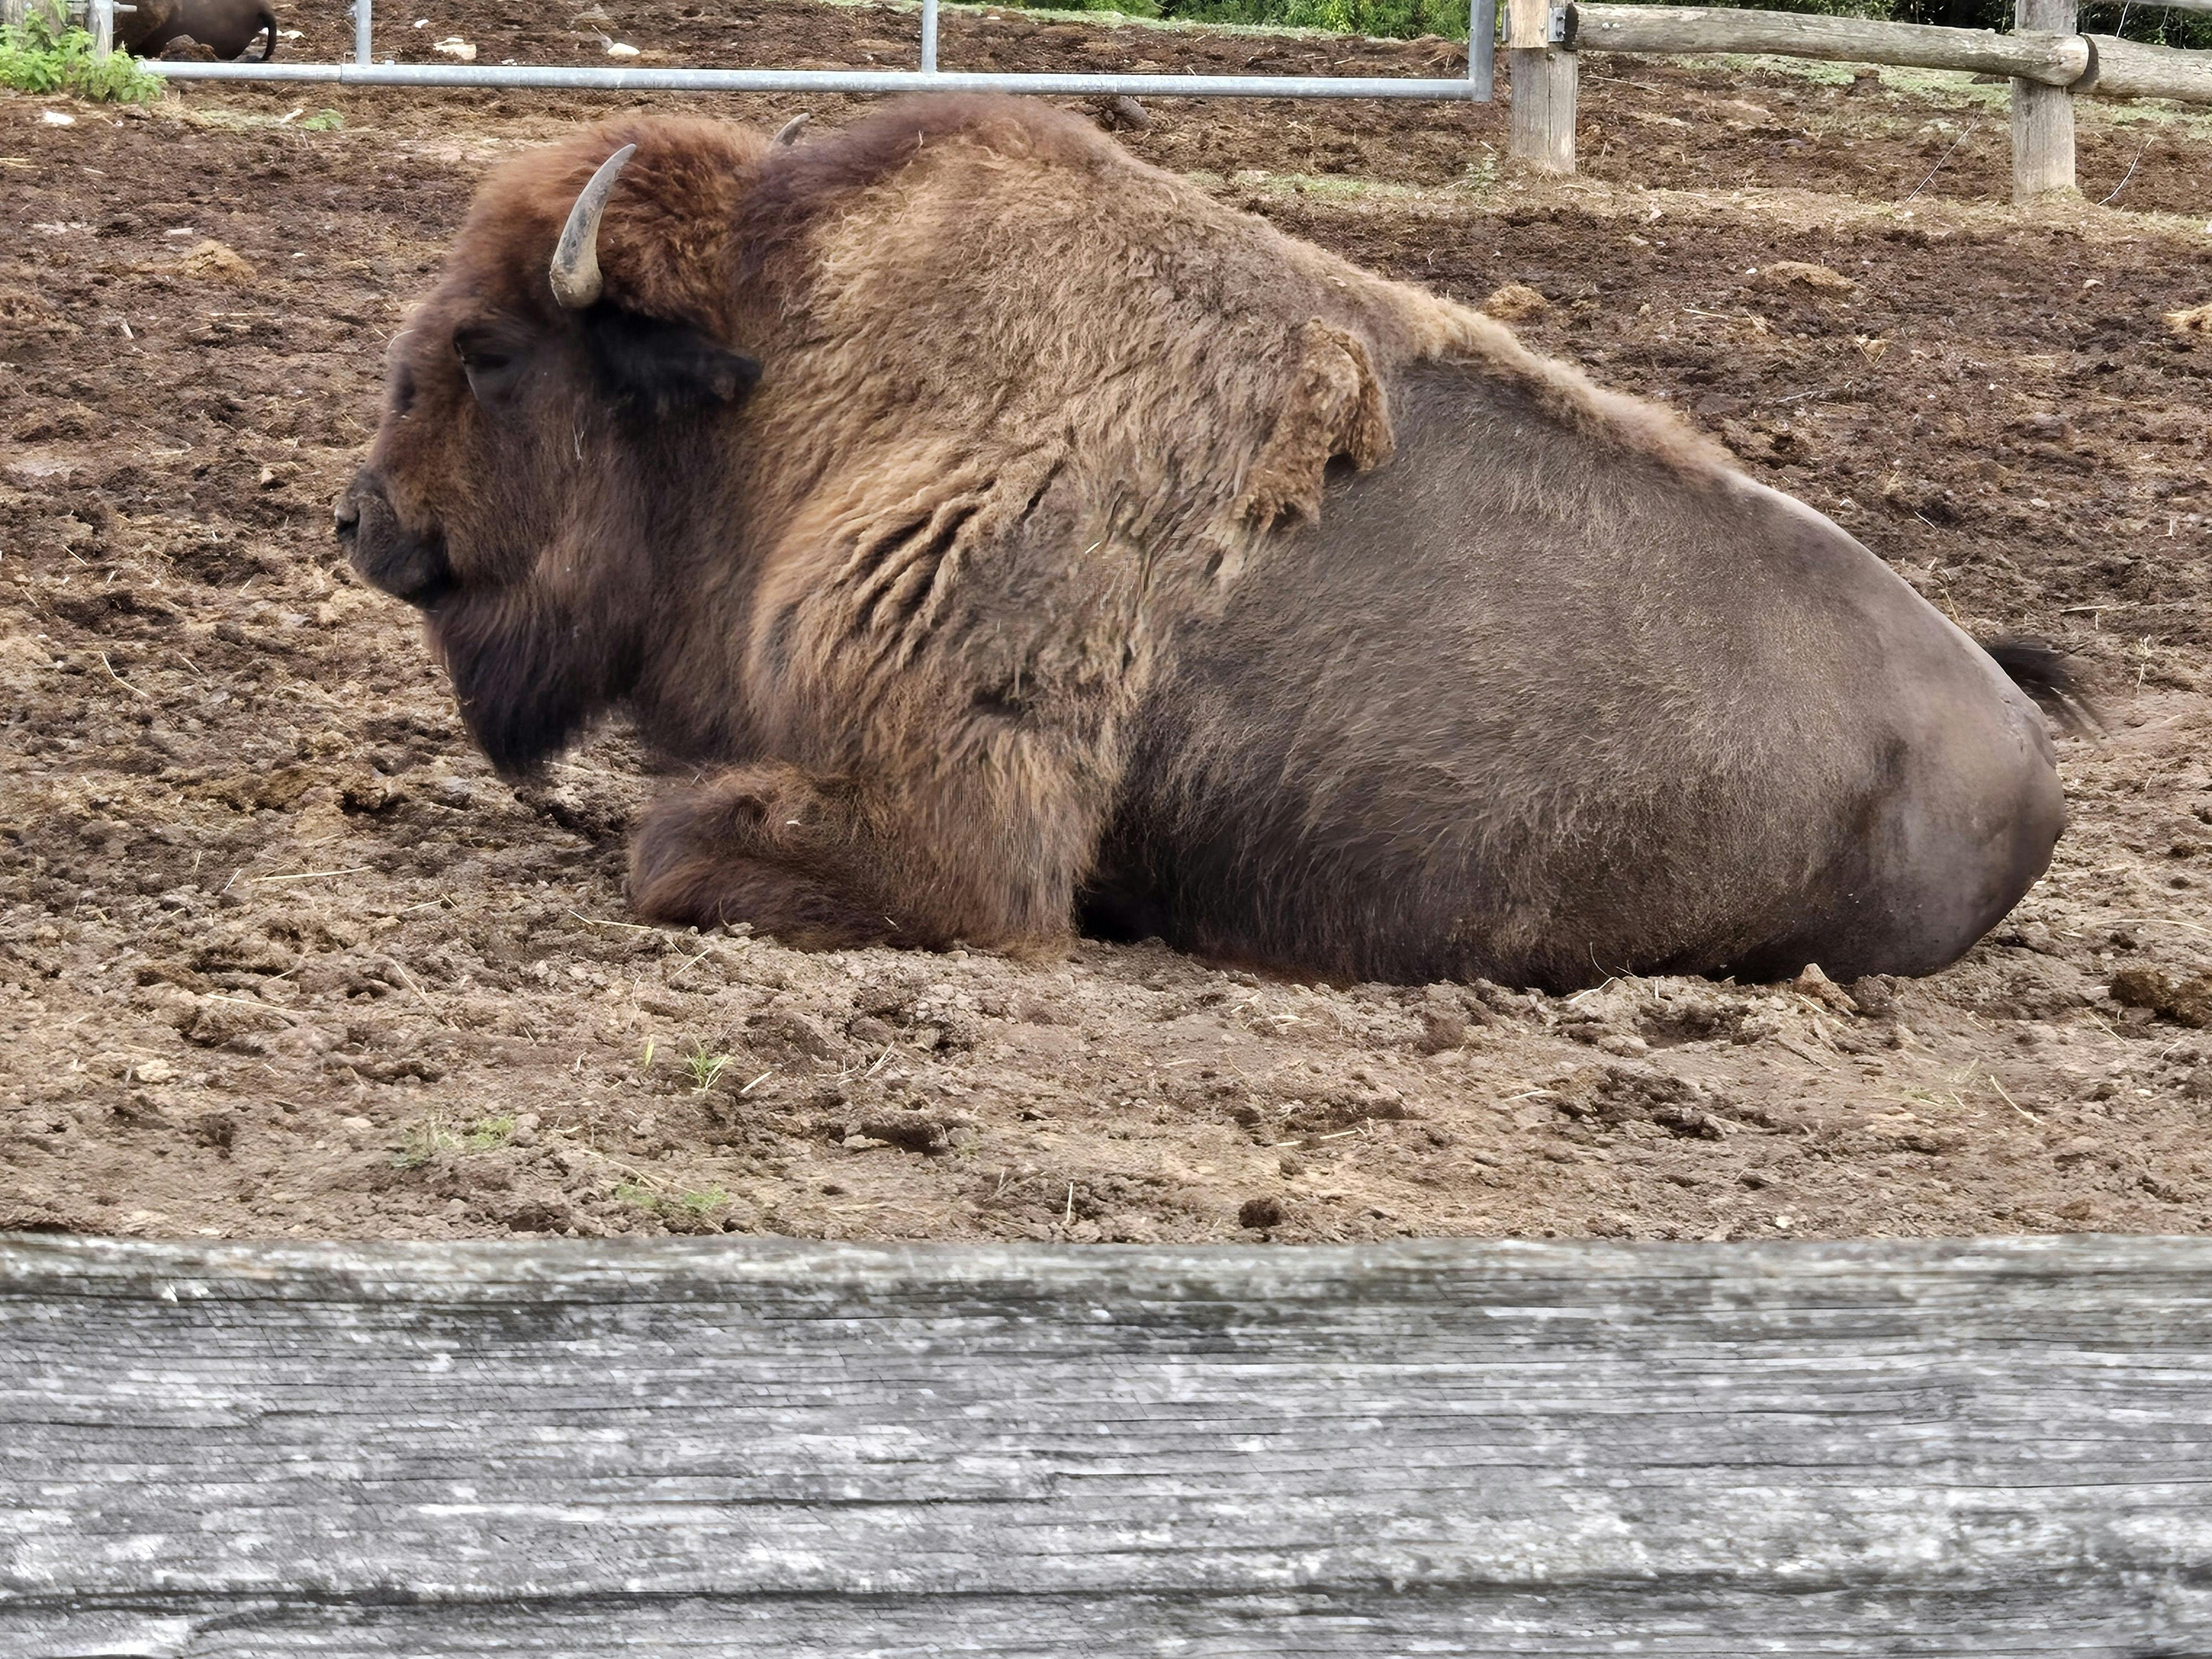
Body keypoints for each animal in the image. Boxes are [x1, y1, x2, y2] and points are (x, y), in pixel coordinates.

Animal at [337, 98, 2077, 991]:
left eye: (490, 351)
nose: (361, 519)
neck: (787, 378)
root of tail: (2018, 728)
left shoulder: (954, 843)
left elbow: (676, 849)